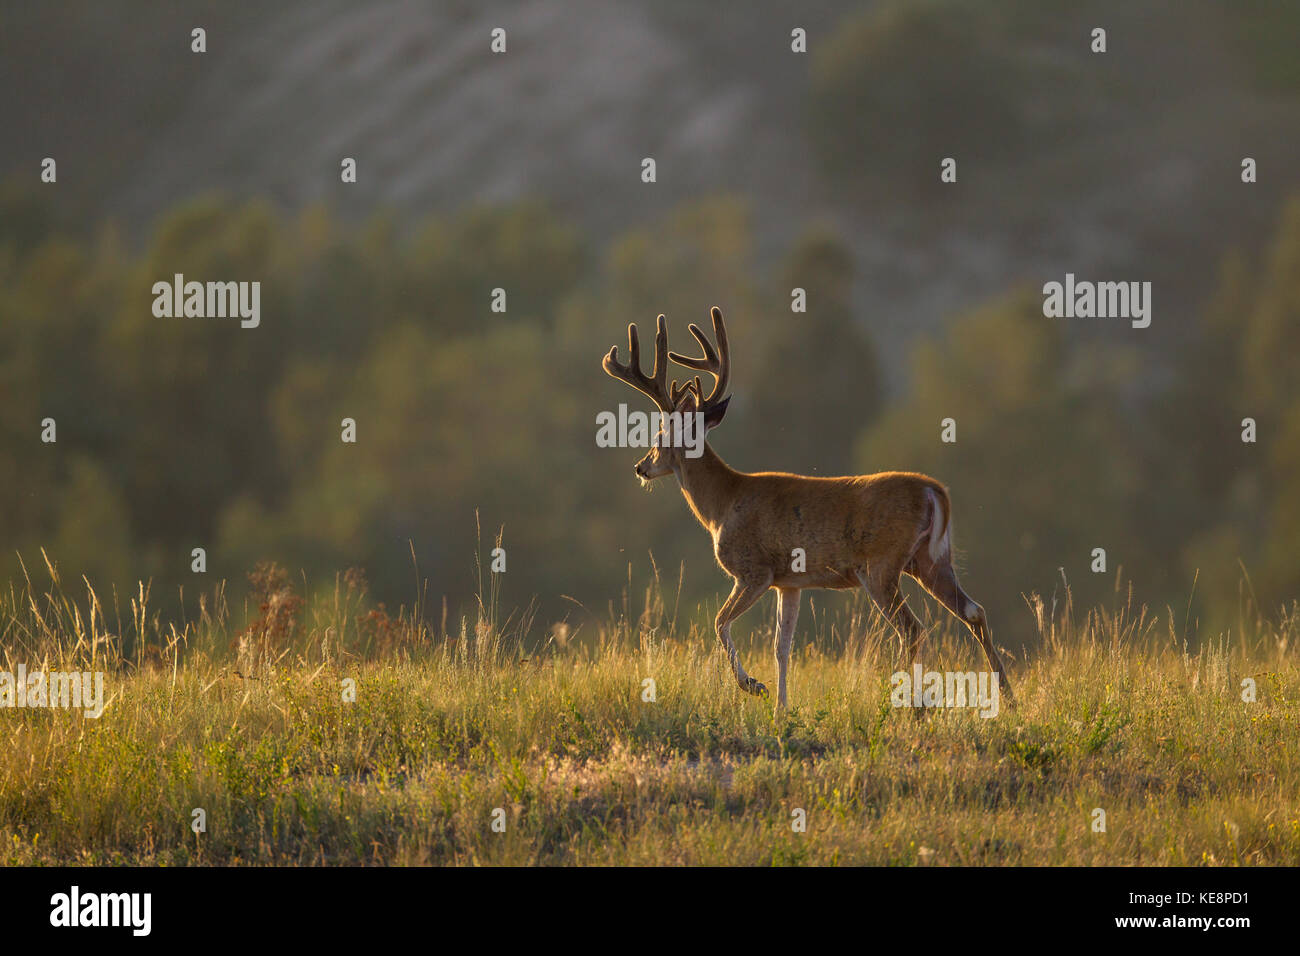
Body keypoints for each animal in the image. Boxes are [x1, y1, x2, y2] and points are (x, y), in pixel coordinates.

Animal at [598, 306, 1013, 712]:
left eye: (659, 436)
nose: (641, 467)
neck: (722, 504)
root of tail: (933, 491)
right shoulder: (790, 582)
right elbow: (782, 646)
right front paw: (780, 708)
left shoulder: (754, 570)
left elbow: (719, 622)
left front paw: (753, 686)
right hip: (931, 560)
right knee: (974, 611)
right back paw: (1004, 697)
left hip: (882, 564)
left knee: (912, 629)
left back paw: (905, 704)